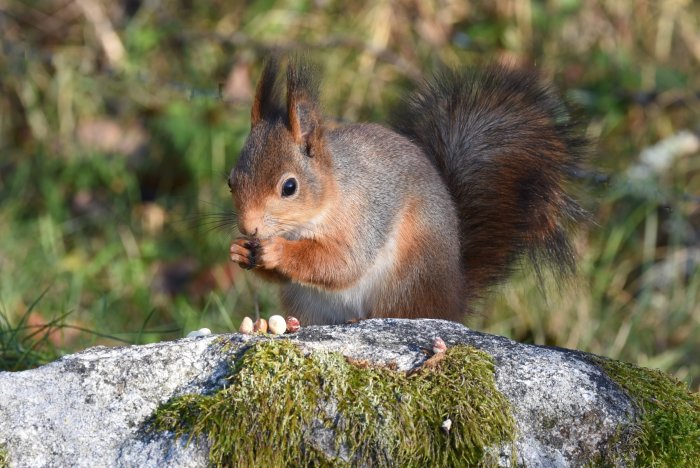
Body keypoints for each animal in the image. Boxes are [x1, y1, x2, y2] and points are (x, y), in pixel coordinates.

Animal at [227, 56, 584, 324]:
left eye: (289, 187)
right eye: (230, 181)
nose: (248, 227)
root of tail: (451, 302)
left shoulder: (365, 217)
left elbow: (342, 262)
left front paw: (277, 251)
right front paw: (239, 250)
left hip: (409, 279)